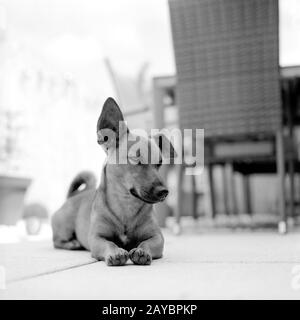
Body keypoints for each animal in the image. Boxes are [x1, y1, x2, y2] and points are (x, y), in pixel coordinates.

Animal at [50, 97, 175, 264]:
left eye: (159, 164)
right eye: (135, 159)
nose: (164, 192)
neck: (126, 204)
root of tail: (74, 196)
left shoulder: (157, 238)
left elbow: (146, 243)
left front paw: (141, 251)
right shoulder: (97, 238)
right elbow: (109, 244)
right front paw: (116, 252)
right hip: (64, 226)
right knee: (57, 241)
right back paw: (72, 243)